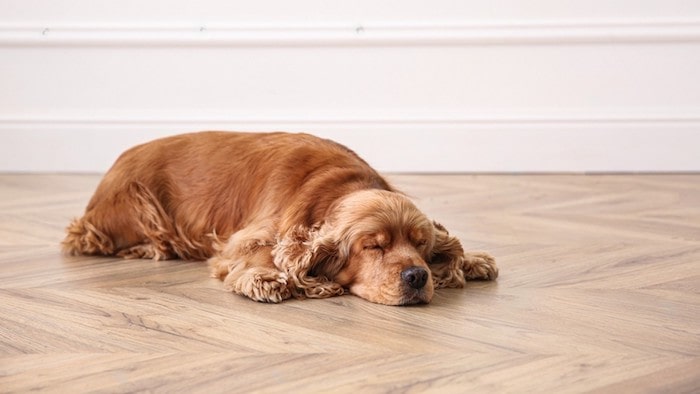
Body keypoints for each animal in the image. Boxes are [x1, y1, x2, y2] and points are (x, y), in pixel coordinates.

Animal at [61, 132, 498, 304]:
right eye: (373, 247)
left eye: (421, 246)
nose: (418, 276)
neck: (337, 188)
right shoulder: (245, 236)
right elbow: (259, 253)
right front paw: (265, 278)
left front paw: (473, 259)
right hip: (139, 204)